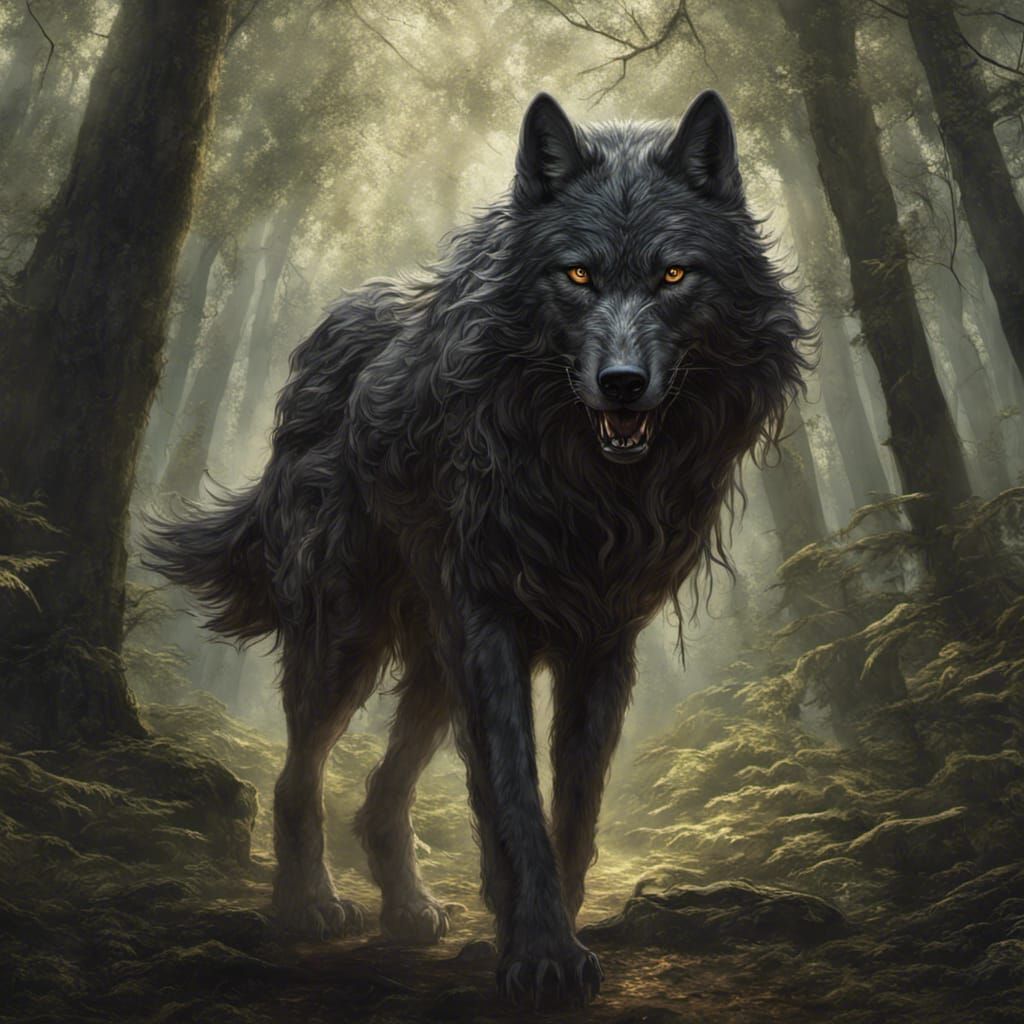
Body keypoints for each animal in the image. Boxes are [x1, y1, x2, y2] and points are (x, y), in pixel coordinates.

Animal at [145, 90, 808, 1005]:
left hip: (431, 664)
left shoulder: (603, 641)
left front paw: (546, 931)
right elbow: (514, 797)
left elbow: (577, 807)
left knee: (378, 799)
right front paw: (540, 953)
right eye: (576, 274)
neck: (582, 483)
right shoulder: (490, 630)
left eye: (674, 275)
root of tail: (326, 336)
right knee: (297, 777)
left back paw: (409, 912)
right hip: (351, 639)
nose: (623, 384)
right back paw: (308, 905)